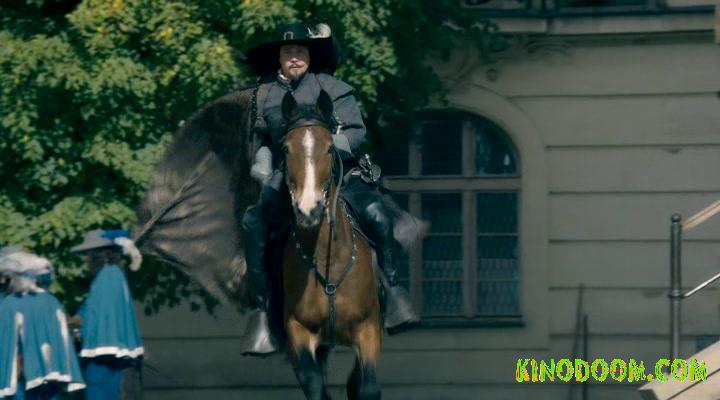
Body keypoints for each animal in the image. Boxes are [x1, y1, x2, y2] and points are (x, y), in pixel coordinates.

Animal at [280, 90, 382, 400]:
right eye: (286, 149)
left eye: (328, 148)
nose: (309, 210)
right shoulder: (298, 331)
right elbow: (315, 386)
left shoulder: (368, 328)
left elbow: (368, 388)